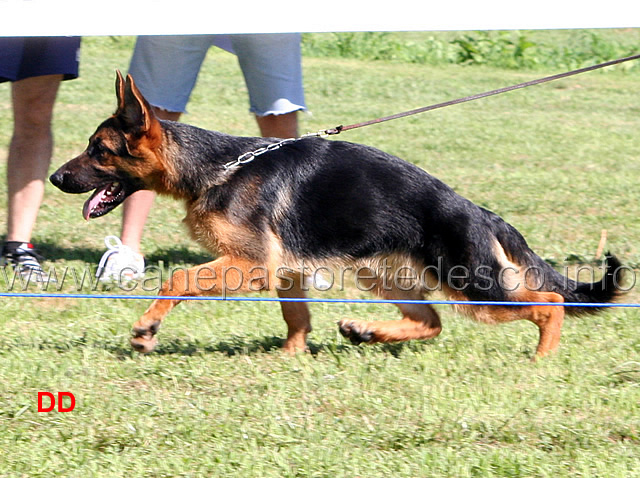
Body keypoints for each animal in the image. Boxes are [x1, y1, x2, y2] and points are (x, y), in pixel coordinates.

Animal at [50, 73, 620, 358]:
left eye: (99, 151)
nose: (55, 178)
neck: (216, 167)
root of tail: (479, 211)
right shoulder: (285, 271)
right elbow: (296, 316)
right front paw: (290, 356)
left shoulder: (249, 265)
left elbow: (179, 280)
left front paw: (146, 328)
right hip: (383, 276)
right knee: (431, 322)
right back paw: (367, 332)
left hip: (474, 288)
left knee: (548, 304)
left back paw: (542, 360)